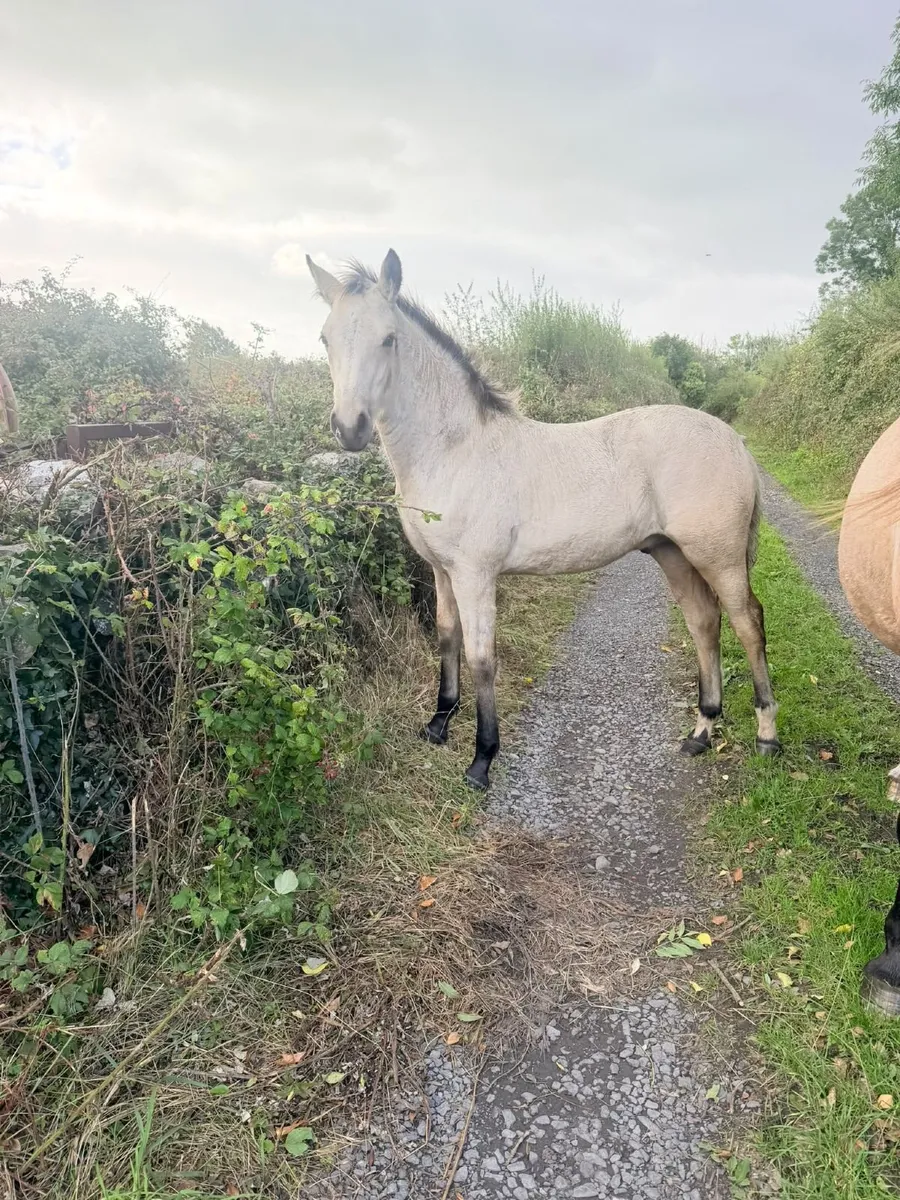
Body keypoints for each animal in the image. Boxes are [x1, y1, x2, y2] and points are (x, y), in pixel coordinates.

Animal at [306, 249, 780, 790]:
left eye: (388, 338)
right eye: (325, 337)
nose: (350, 429)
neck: (454, 451)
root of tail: (734, 441)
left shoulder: (475, 574)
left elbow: (481, 656)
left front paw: (482, 759)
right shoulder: (442, 571)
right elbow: (446, 637)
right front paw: (438, 724)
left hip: (718, 556)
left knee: (747, 622)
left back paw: (767, 736)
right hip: (672, 552)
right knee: (704, 621)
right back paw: (700, 731)